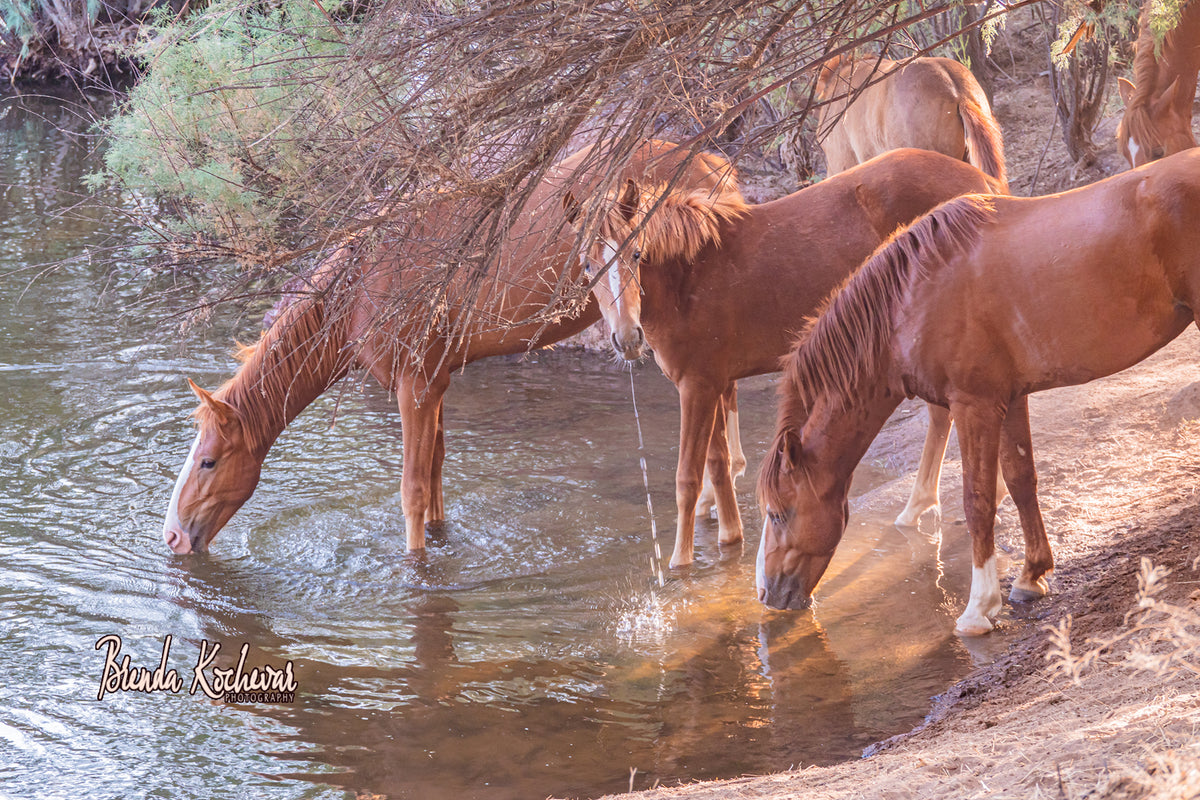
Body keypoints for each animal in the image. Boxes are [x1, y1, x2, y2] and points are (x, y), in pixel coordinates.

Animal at [161, 139, 735, 554]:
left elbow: (413, 492)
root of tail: (714, 165)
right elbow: (436, 477)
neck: (360, 290)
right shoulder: (435, 384)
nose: (171, 535)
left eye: (209, 461)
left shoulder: (413, 388)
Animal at [570, 148, 1004, 568]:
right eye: (587, 265)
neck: (688, 277)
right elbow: (719, 465)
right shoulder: (711, 383)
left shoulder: (697, 387)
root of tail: (980, 183)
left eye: (636, 255)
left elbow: (688, 478)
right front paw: (729, 538)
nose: (627, 338)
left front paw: (680, 563)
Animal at [757, 148, 1200, 635]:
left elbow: (977, 501)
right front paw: (1030, 576)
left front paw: (979, 607)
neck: (913, 298)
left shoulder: (974, 406)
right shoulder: (1011, 398)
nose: (766, 593)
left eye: (778, 513)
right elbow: (1021, 479)